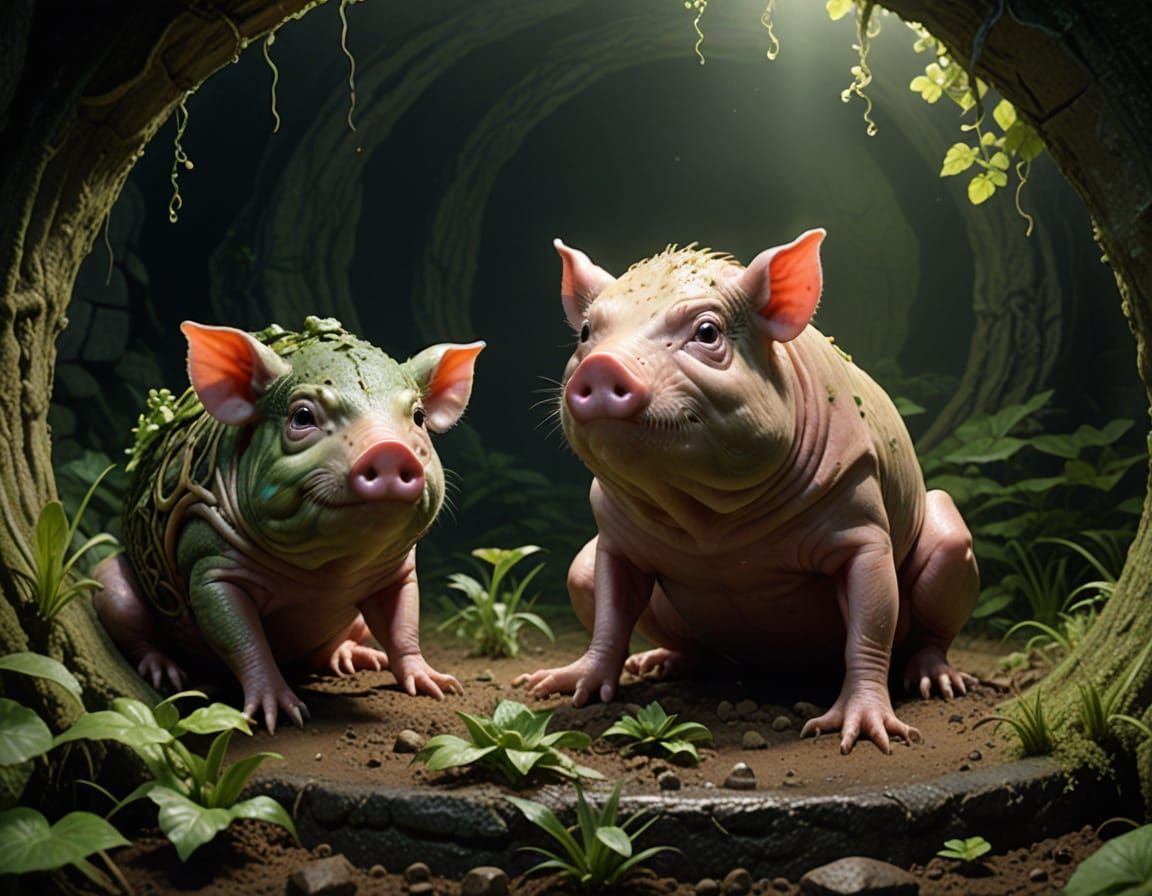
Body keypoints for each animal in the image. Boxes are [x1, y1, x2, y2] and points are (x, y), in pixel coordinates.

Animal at [94, 317, 483, 732]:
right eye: (302, 417)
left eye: (419, 417)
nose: (390, 450)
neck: (329, 572)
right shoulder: (207, 560)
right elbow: (241, 638)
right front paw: (280, 714)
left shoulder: (398, 570)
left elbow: (404, 626)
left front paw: (440, 685)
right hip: (114, 583)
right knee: (130, 621)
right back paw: (166, 674)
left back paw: (357, 658)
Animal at [517, 230, 978, 753]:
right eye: (585, 333)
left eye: (707, 332)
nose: (598, 366)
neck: (713, 528)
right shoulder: (615, 538)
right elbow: (610, 617)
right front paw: (559, 687)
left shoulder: (862, 517)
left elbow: (871, 621)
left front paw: (859, 734)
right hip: (609, 586)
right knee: (628, 605)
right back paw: (655, 663)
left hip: (950, 544)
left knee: (934, 613)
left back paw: (940, 683)